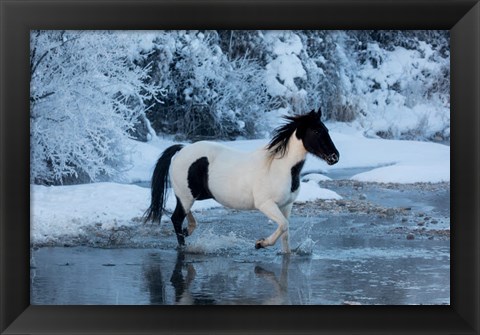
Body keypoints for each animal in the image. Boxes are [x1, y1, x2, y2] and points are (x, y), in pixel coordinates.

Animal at [144, 109, 340, 253]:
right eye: (316, 131)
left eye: (327, 130)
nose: (334, 157)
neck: (280, 168)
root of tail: (181, 149)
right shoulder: (266, 204)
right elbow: (284, 225)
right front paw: (260, 243)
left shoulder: (286, 206)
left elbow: (285, 233)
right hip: (187, 196)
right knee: (176, 218)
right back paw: (185, 247)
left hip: (192, 196)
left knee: (184, 216)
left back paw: (188, 230)